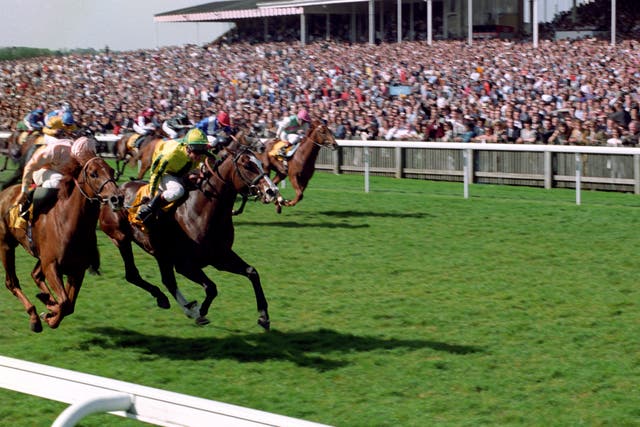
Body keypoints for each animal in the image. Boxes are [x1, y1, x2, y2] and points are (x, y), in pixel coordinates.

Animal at [0, 155, 124, 332]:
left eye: (112, 171)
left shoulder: (77, 269)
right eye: (93, 174)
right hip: (7, 246)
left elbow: (69, 305)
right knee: (12, 282)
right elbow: (65, 302)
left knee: (35, 275)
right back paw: (35, 317)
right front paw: (49, 313)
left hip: (40, 257)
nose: (117, 198)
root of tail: (4, 193)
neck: (68, 222)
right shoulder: (51, 265)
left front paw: (50, 312)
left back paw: (47, 300)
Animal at [100, 146, 280, 328]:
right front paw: (201, 311)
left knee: (168, 280)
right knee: (133, 274)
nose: (272, 191)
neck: (203, 210)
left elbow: (252, 272)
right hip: (121, 238)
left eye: (260, 163)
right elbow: (211, 287)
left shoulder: (220, 256)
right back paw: (169, 300)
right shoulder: (185, 264)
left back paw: (181, 306)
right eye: (247, 165)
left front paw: (264, 317)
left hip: (160, 253)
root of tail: (114, 192)